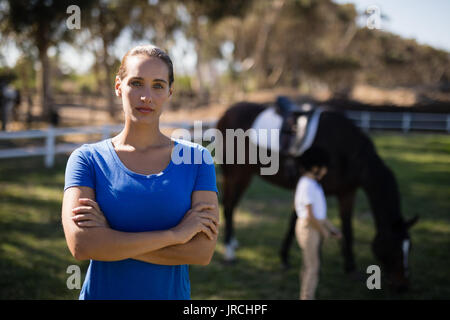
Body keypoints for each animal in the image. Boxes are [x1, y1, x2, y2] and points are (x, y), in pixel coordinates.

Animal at [214, 101, 418, 292]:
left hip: (245, 175)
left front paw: (350, 267)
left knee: (232, 205)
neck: (345, 149)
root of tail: (226, 113)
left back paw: (233, 243)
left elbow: (347, 227)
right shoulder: (311, 187)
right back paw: (229, 253)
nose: (403, 286)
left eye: (409, 247)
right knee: (229, 206)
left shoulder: (347, 193)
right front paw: (285, 259)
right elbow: (295, 222)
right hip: (236, 173)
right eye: (394, 247)